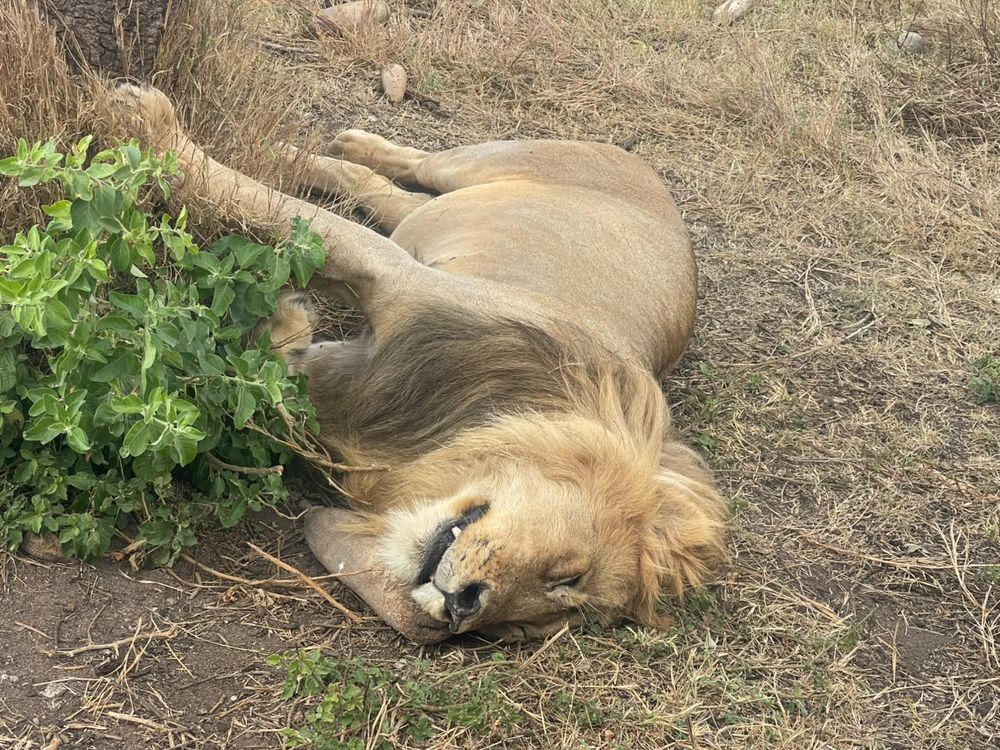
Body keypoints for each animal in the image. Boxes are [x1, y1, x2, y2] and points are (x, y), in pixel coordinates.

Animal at [122, 85, 726, 643]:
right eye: (567, 575)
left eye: (523, 627)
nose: (465, 606)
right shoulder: (398, 277)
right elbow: (281, 212)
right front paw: (155, 127)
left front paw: (285, 325)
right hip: (486, 160)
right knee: (414, 167)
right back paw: (320, 144)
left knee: (395, 199)